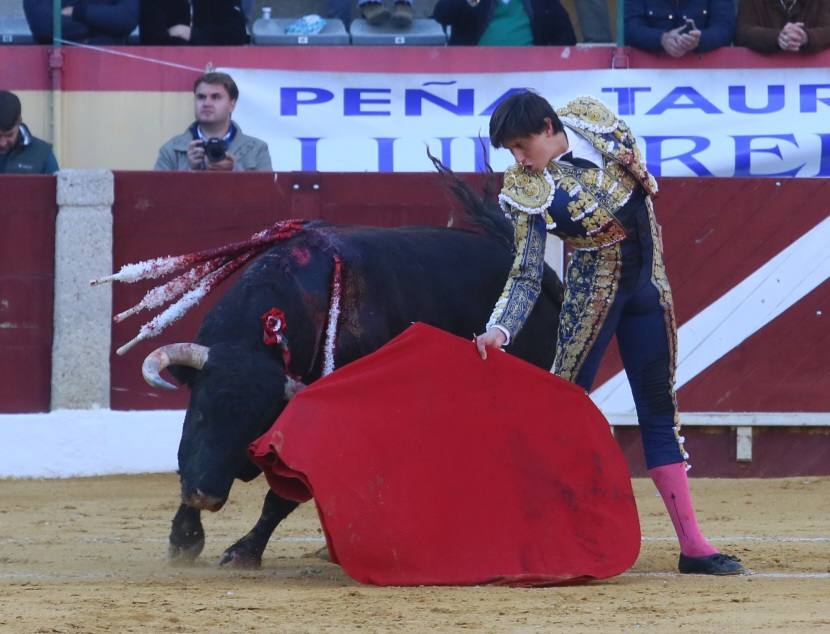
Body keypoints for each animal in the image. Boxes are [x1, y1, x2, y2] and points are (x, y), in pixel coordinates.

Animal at [136, 179, 564, 568]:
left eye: (253, 426)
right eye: (199, 412)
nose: (205, 495)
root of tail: (538, 276)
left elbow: (284, 495)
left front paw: (243, 551)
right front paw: (184, 538)